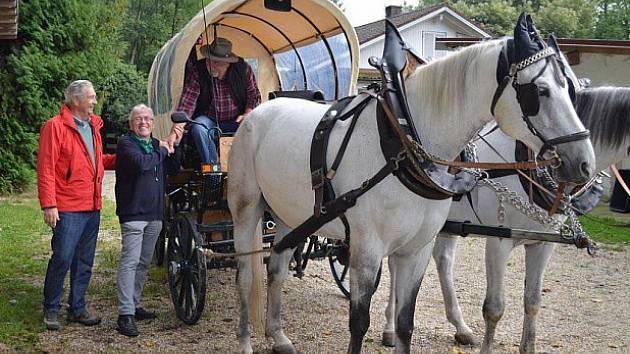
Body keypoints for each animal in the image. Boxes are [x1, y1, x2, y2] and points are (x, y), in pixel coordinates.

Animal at [382, 86, 630, 354]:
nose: (583, 166)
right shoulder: (499, 242)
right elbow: (494, 308)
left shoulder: (543, 244)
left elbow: (533, 301)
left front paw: (528, 347)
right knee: (396, 265)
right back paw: (389, 329)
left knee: (442, 260)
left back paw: (461, 327)